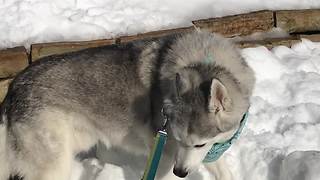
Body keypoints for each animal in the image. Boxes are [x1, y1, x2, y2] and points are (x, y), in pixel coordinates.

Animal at [0, 31, 255, 180]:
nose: (180, 172)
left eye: (200, 144)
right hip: (54, 166)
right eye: (178, 138)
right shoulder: (166, 158)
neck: (204, 60)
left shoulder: (202, 155)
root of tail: (14, 87)